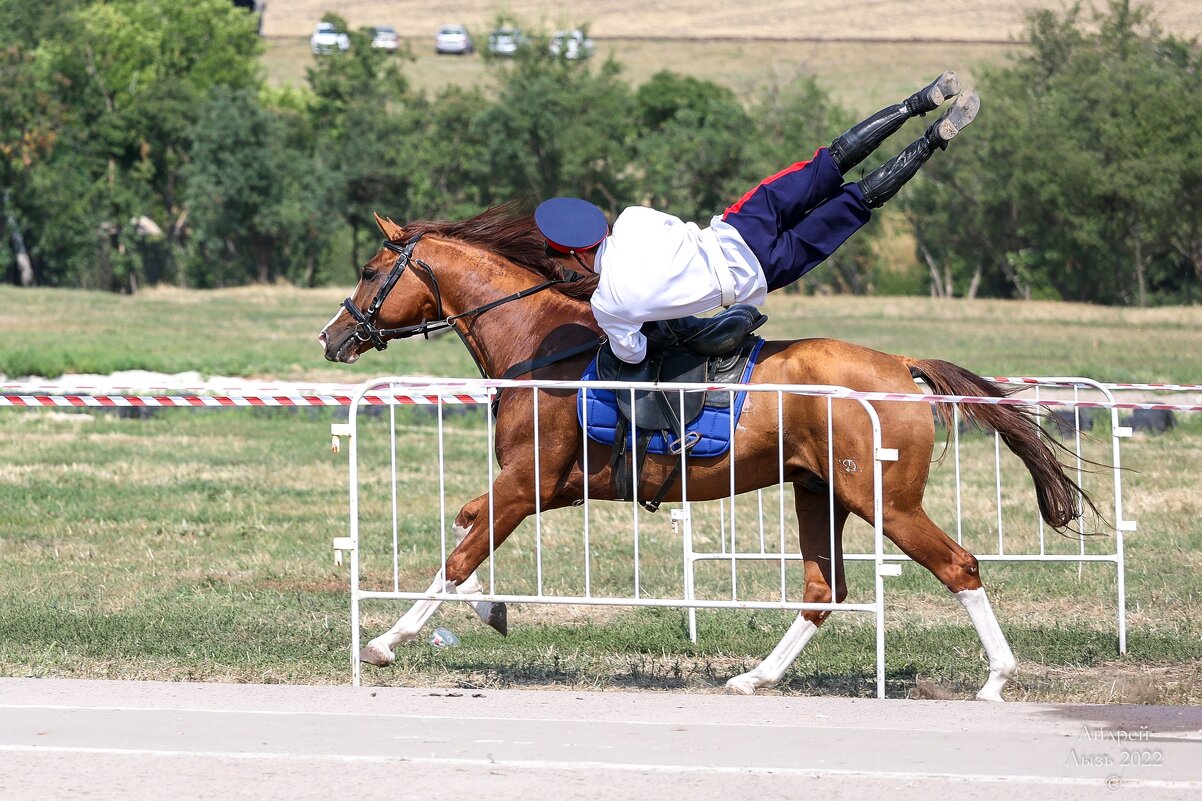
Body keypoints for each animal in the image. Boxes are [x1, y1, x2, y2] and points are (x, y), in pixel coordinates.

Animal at [319, 203, 1091, 697]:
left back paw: (996, 678)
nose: (331, 337)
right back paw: (757, 676)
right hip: (819, 494)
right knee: (824, 592)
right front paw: (491, 609)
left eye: (369, 270)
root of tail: (901, 365)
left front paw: (386, 641)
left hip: (885, 501)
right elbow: (467, 524)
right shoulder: (544, 485)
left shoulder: (528, 480)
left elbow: (458, 556)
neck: (543, 345)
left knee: (959, 566)